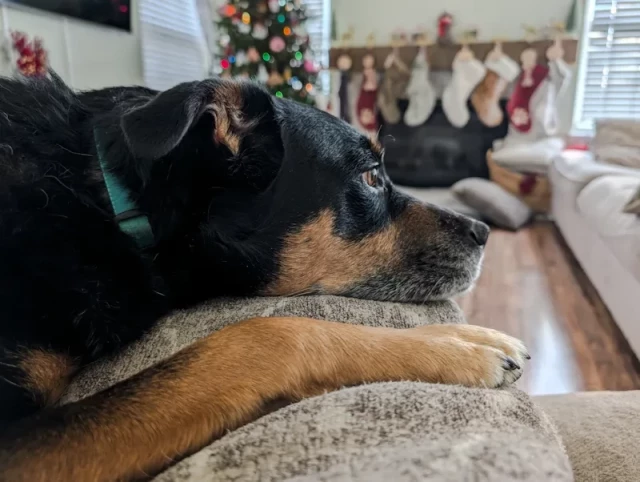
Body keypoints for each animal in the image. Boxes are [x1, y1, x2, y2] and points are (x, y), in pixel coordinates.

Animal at [0, 73, 528, 480]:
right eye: (371, 177)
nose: (484, 232)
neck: (112, 202)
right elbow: (268, 334)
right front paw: (452, 349)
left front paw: (461, 336)